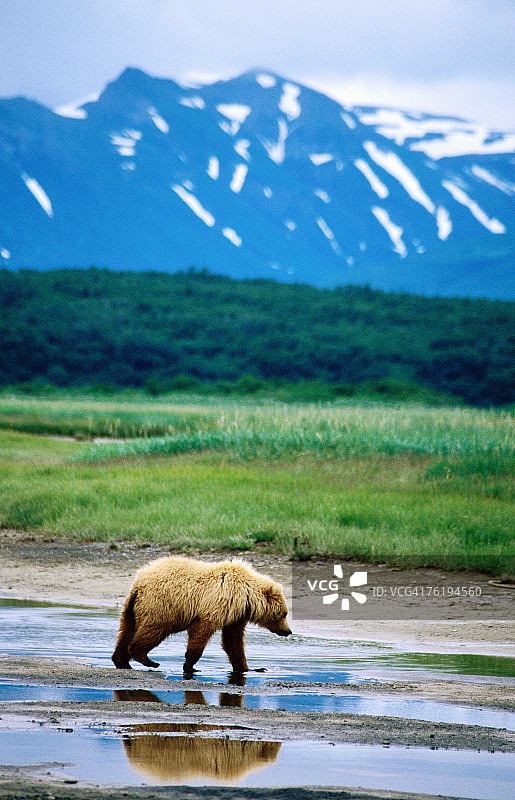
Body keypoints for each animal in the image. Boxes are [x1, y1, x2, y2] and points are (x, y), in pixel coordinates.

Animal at [112, 555, 292, 675]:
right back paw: (147, 659)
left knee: (126, 631)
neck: (245, 594)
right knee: (153, 630)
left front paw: (251, 667)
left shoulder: (236, 615)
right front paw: (190, 665)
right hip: (161, 606)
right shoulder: (219, 603)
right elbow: (201, 632)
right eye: (284, 613)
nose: (288, 631)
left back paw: (121, 661)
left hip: (132, 608)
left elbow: (233, 640)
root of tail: (139, 584)